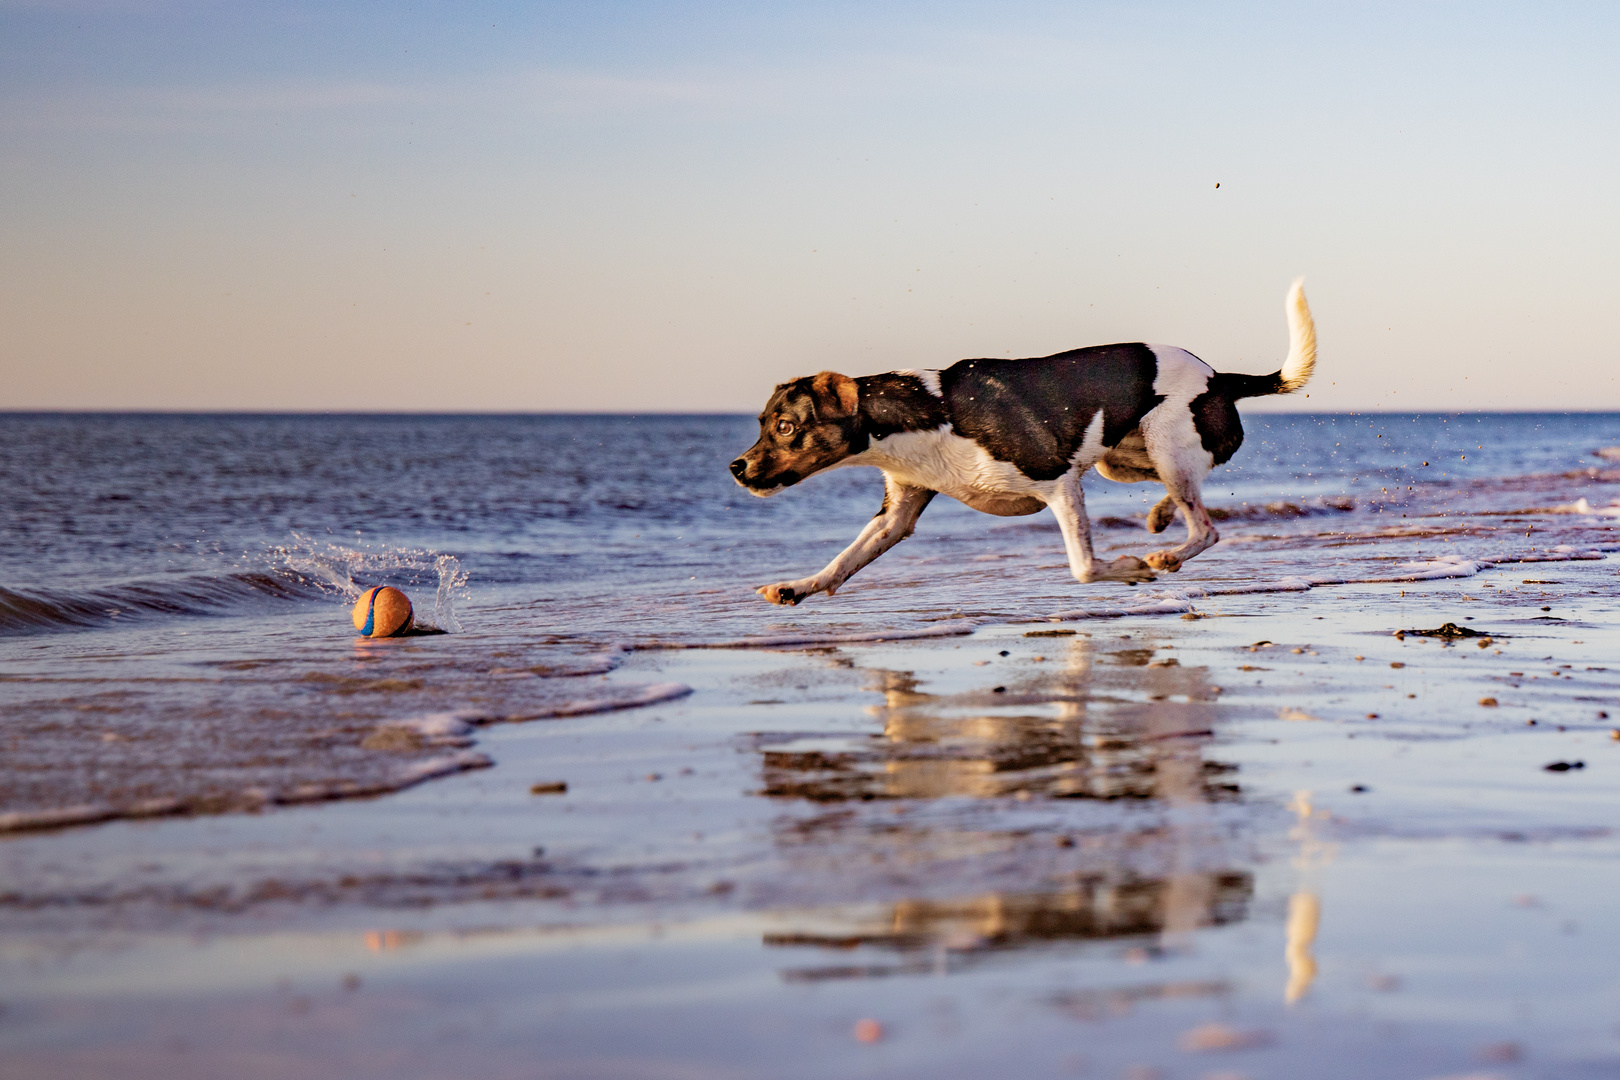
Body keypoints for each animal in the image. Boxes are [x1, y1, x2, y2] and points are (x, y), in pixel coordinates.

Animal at [735, 278, 1315, 605]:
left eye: (785, 426)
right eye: (763, 422)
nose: (735, 468)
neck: (931, 413)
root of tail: (1221, 378)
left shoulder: (1059, 484)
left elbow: (1083, 567)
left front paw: (1128, 570)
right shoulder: (896, 514)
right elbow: (842, 562)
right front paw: (798, 587)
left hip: (1167, 444)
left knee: (1207, 527)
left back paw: (1168, 554)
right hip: (1122, 460)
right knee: (1185, 493)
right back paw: (1160, 517)